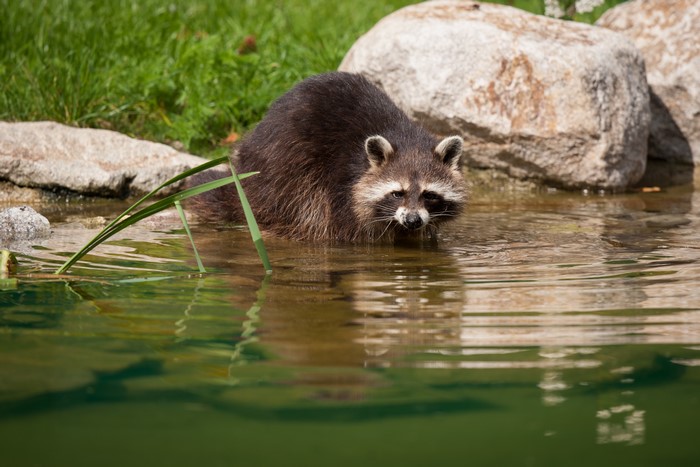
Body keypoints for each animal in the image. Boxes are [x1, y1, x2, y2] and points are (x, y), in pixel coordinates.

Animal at [191, 72, 466, 242]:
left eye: (429, 195)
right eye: (397, 193)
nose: (412, 220)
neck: (408, 140)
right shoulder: (343, 188)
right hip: (283, 167)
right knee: (306, 209)